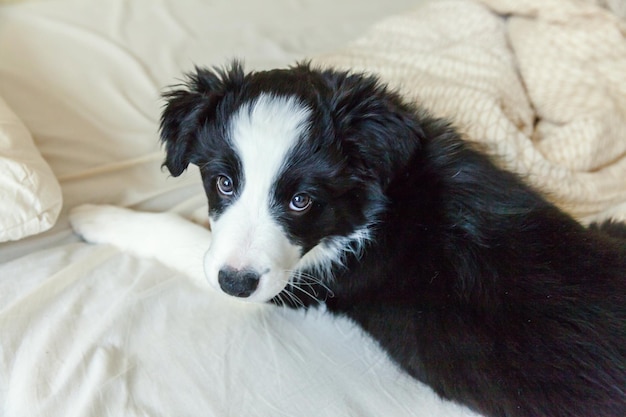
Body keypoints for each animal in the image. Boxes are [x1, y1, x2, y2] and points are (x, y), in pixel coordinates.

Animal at [72, 61, 624, 416]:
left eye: (301, 200)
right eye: (224, 182)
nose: (235, 282)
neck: (374, 200)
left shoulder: (291, 285)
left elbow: (177, 234)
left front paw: (93, 215)